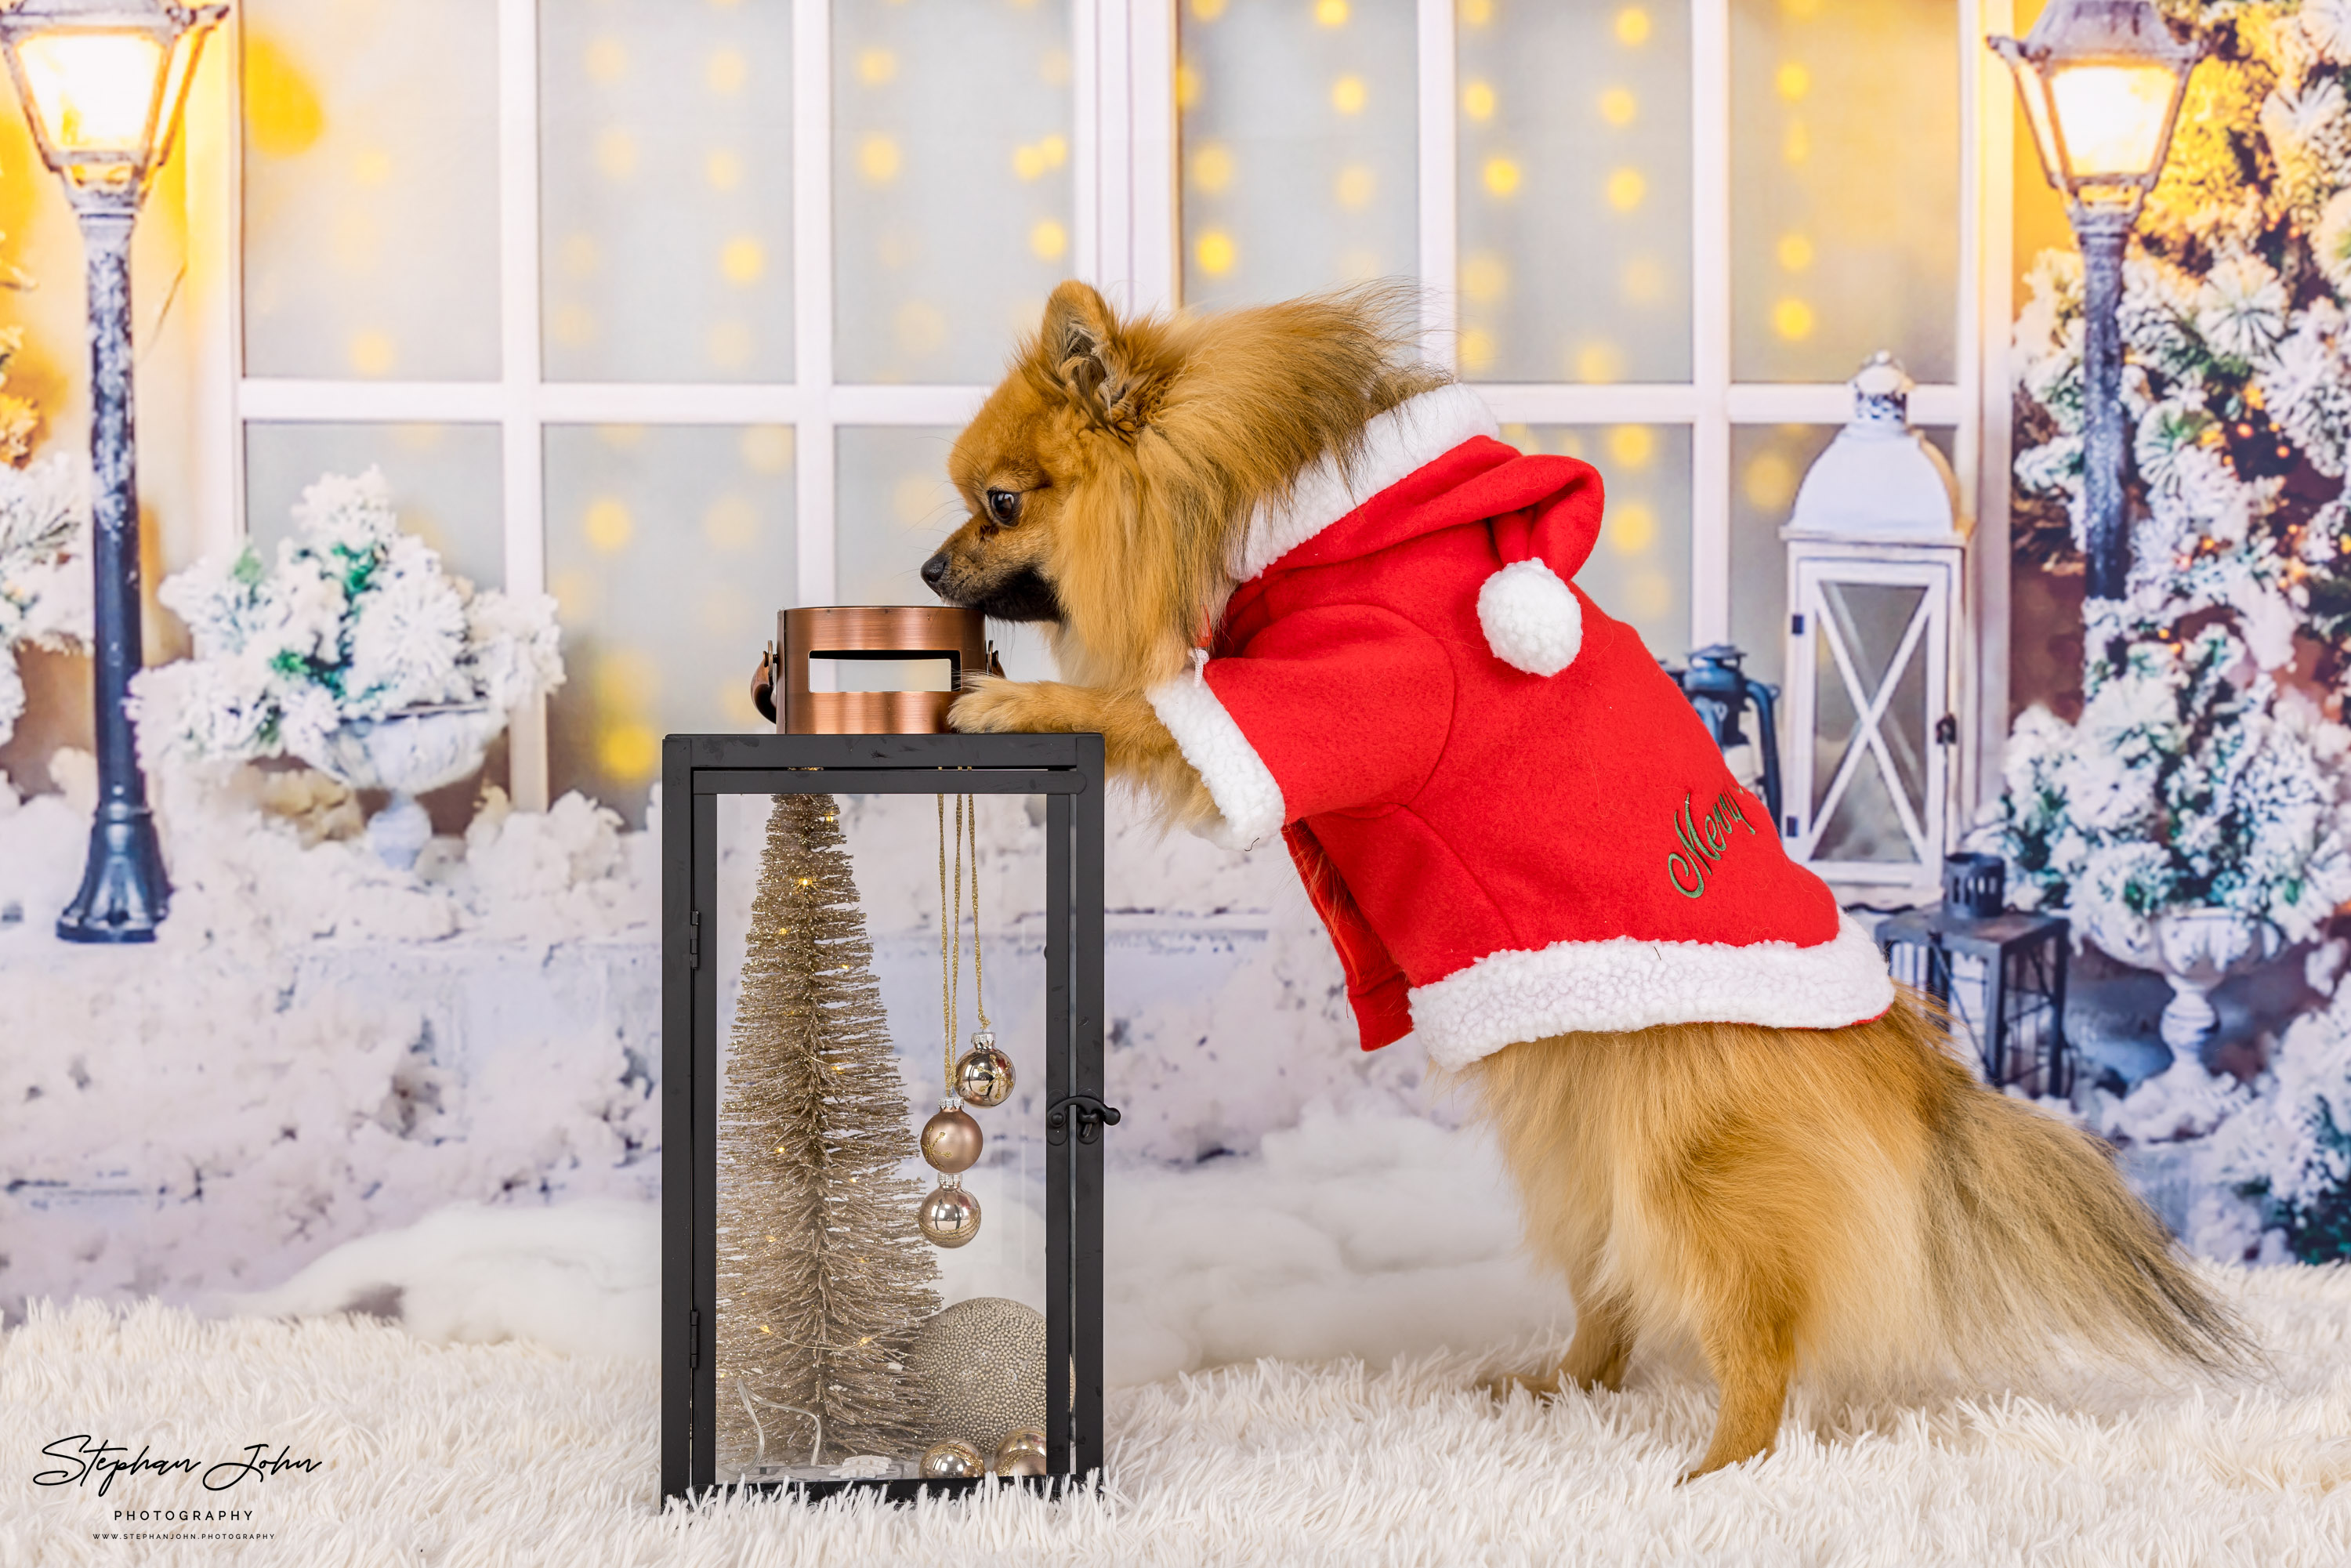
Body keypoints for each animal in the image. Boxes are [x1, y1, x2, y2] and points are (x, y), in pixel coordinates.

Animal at [926, 285, 2248, 1486]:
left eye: (1001, 503)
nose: (930, 565)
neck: (1285, 503)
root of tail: (1915, 1066)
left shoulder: (1319, 705)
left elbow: (1139, 709)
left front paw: (1013, 698)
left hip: (1687, 1165)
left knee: (1758, 1329)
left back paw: (1722, 1468)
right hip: (1579, 1147)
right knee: (1609, 1285)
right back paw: (1559, 1387)